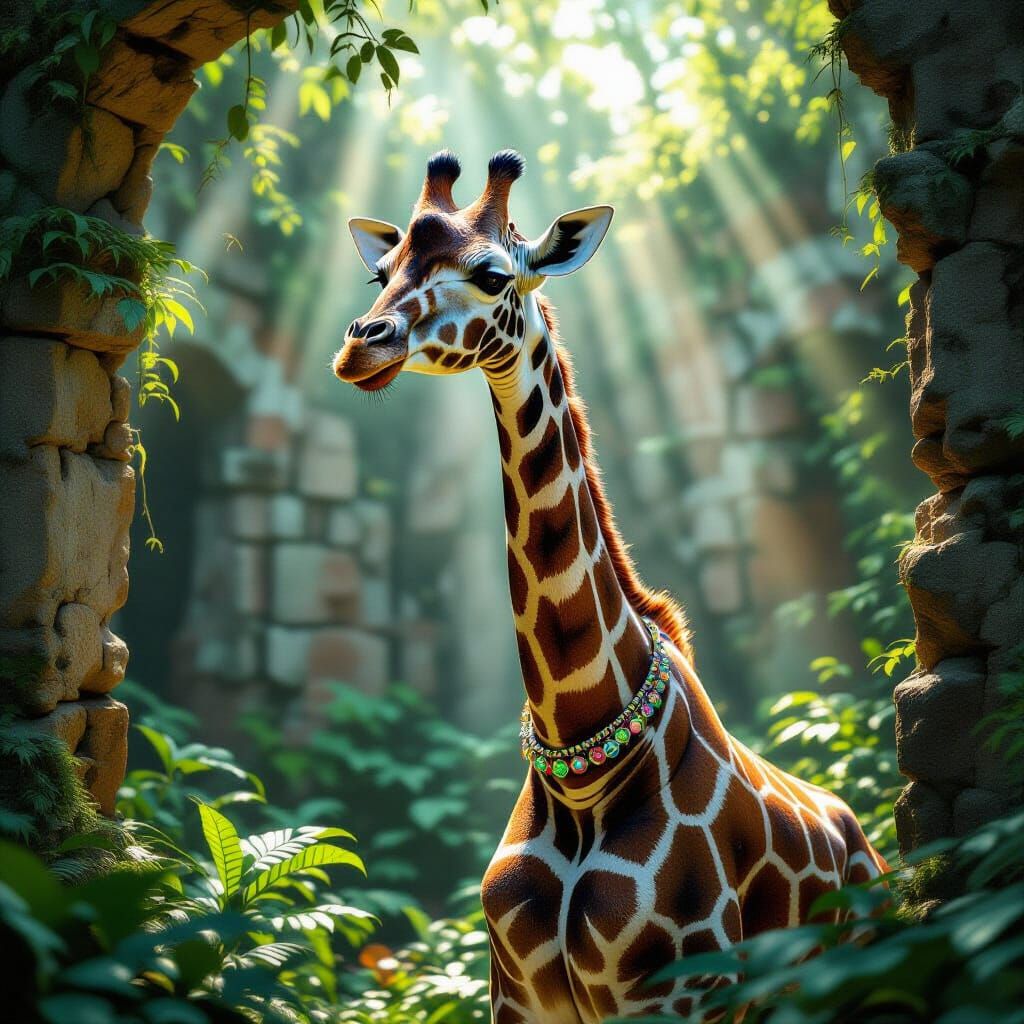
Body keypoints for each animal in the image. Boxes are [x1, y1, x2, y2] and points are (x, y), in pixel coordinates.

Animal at [333, 150, 889, 1023]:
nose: (360, 349)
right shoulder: (519, 996)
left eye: (492, 274)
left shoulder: (683, 992)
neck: (583, 761)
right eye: (379, 276)